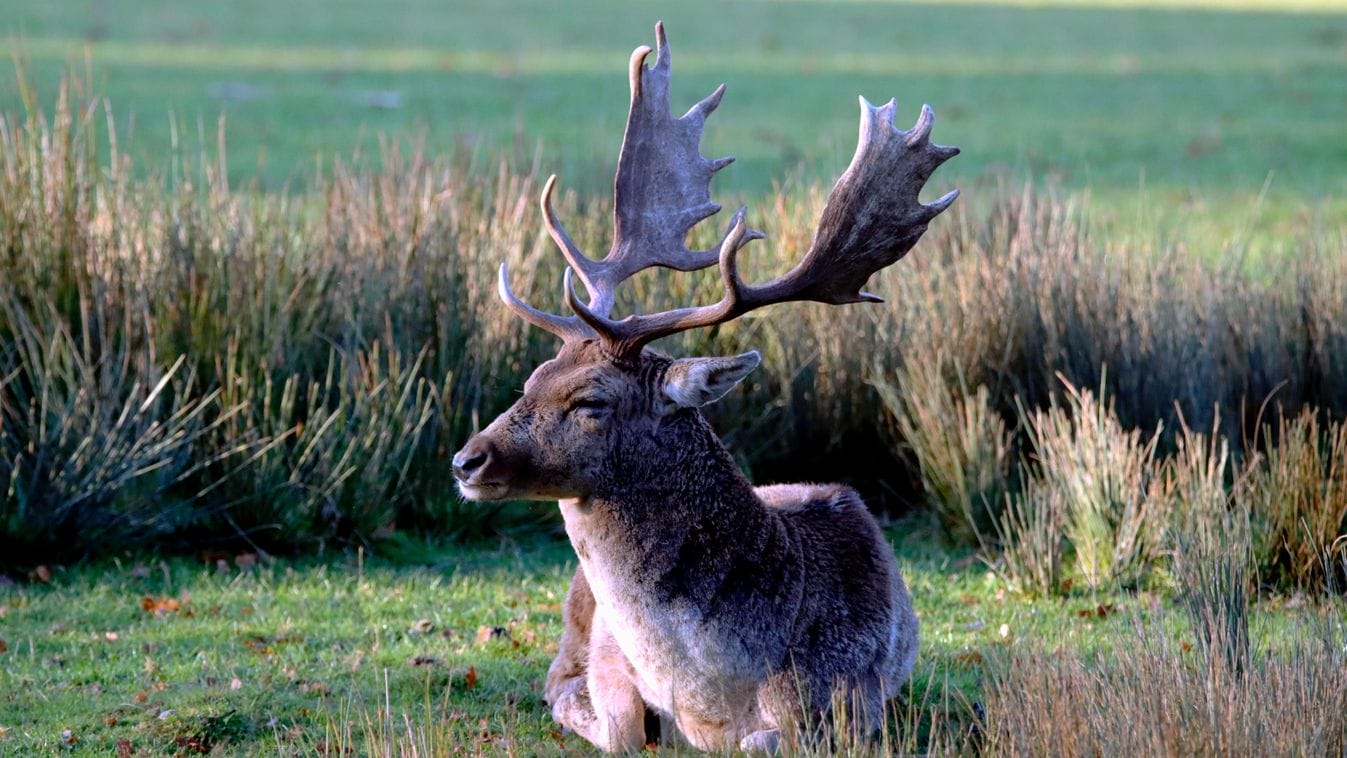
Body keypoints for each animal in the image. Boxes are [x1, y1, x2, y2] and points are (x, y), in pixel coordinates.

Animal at [452, 22, 959, 753]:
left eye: (590, 402)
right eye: (531, 378)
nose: (467, 460)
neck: (712, 694)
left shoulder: (854, 699)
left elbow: (766, 739)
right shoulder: (609, 666)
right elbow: (617, 725)